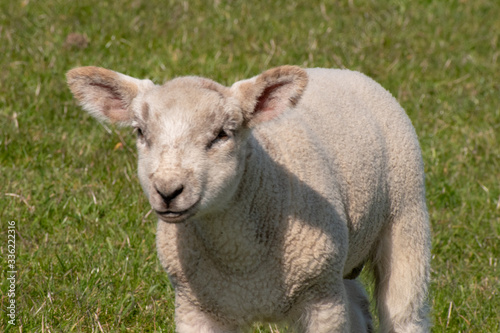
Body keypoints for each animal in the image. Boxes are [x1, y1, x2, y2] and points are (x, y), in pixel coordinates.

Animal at [68, 63, 432, 330]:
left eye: (222, 134)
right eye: (140, 132)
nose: (168, 191)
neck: (242, 264)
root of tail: (342, 70)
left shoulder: (320, 302)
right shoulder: (195, 307)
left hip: (407, 218)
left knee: (405, 313)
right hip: (340, 266)